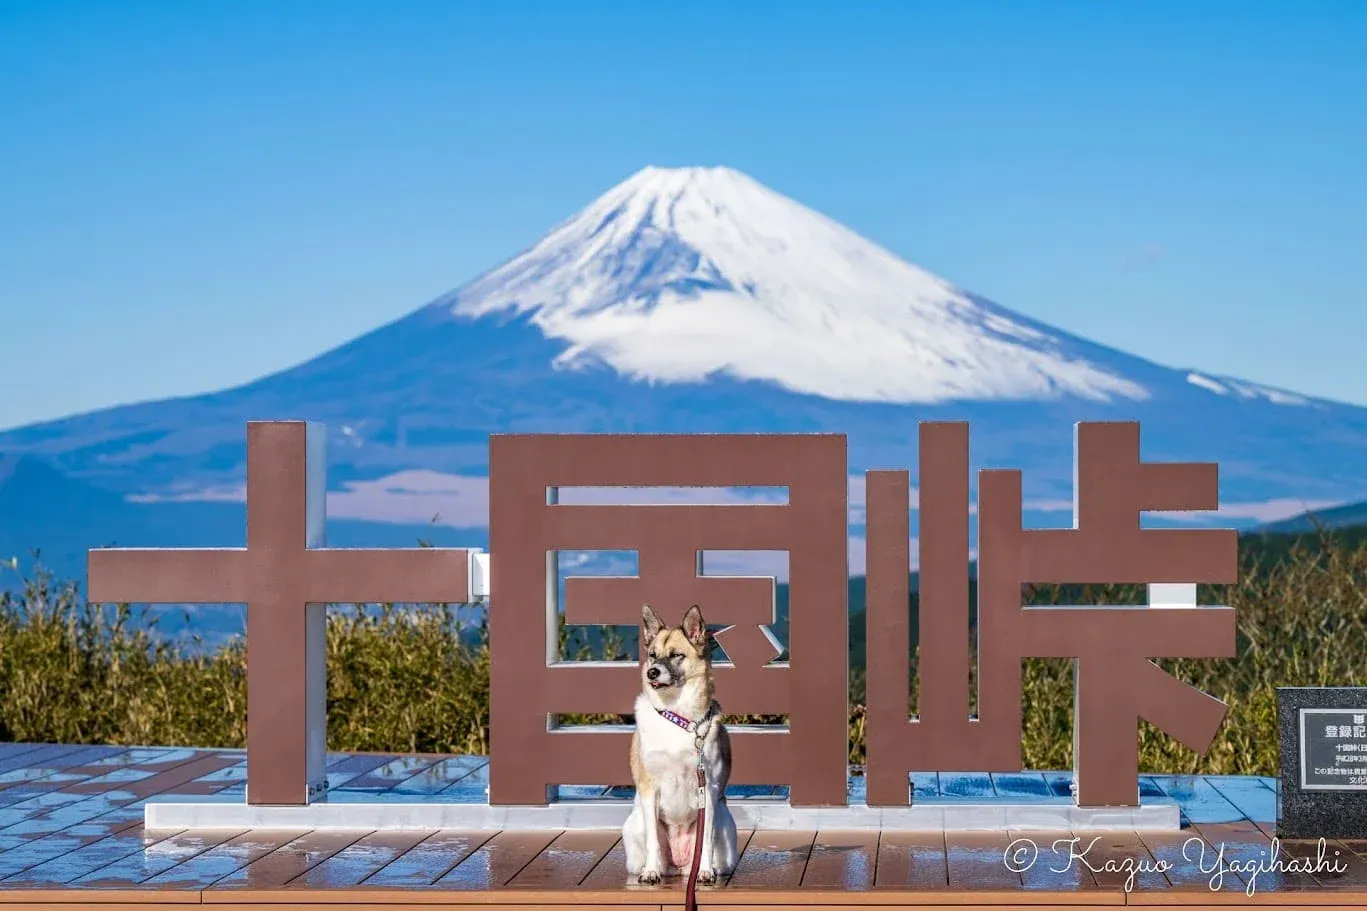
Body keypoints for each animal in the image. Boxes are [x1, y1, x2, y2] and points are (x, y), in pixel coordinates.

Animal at [626, 599, 743, 880]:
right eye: (653, 655)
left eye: (676, 655)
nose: (652, 672)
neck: (678, 718)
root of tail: (678, 867)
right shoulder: (649, 789)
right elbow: (653, 841)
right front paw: (650, 872)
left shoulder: (708, 791)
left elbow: (706, 840)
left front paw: (705, 871)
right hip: (635, 824)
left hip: (726, 825)